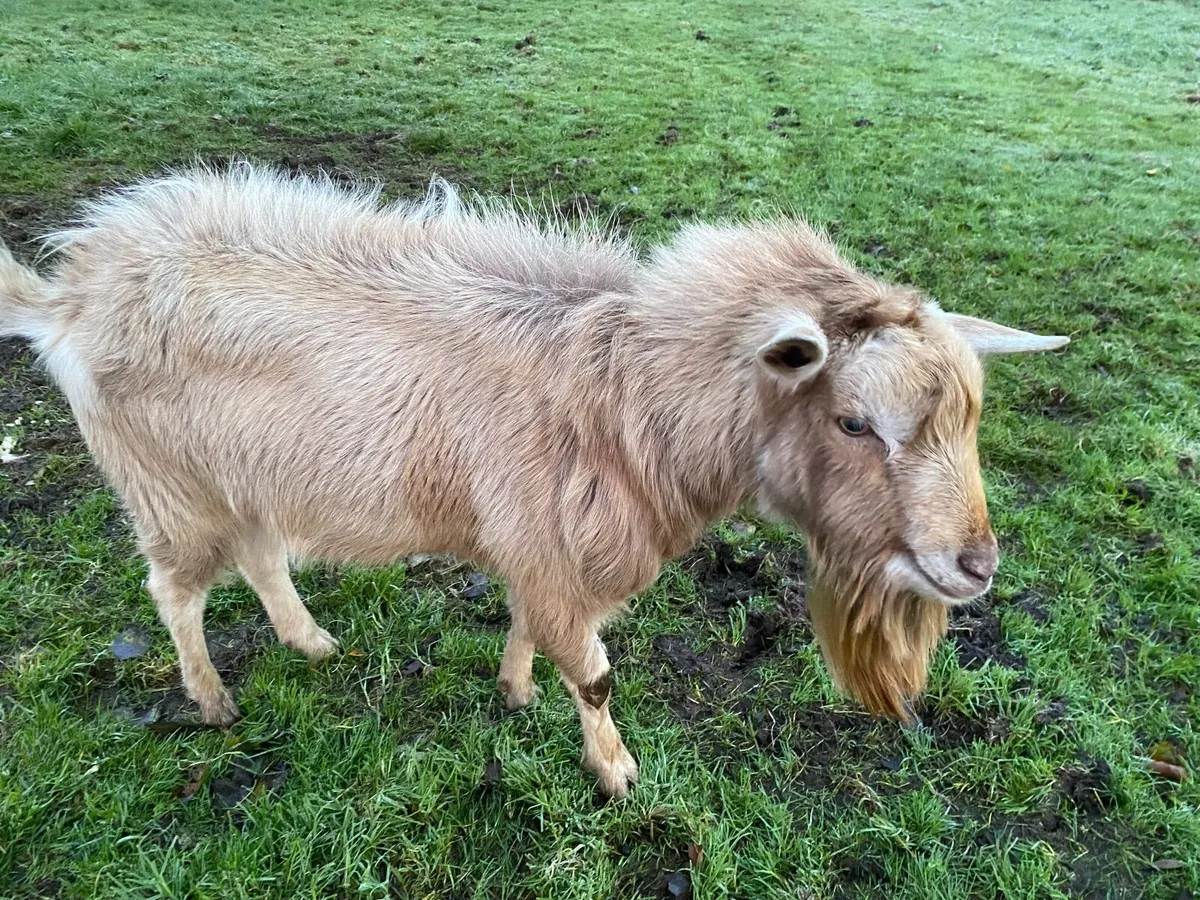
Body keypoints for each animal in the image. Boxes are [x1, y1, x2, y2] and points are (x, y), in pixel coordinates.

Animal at [0, 164, 1068, 797]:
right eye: (853, 421)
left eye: (969, 418)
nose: (976, 566)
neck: (625, 395)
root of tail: (67, 296)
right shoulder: (554, 551)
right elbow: (591, 674)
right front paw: (617, 772)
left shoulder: (534, 545)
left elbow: (524, 628)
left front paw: (513, 693)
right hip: (168, 487)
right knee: (175, 589)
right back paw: (213, 699)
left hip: (248, 475)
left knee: (262, 559)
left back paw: (310, 642)